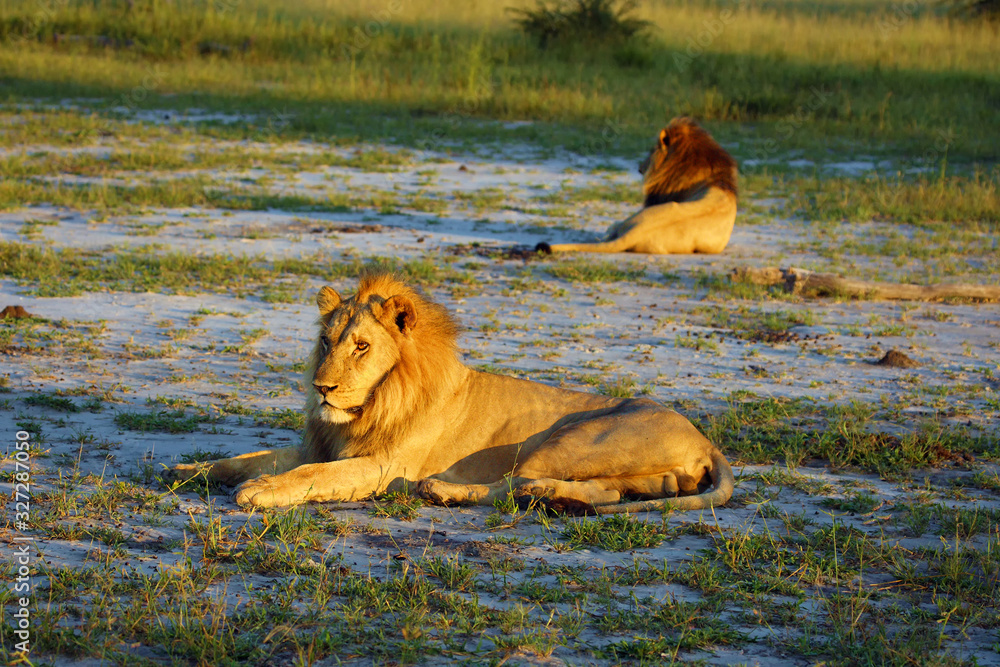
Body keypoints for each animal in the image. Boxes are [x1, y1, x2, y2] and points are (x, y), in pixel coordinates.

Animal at [170, 274, 736, 516]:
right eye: (326, 342)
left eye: (361, 346)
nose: (321, 388)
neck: (371, 405)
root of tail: (706, 439)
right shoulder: (321, 445)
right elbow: (252, 457)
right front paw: (187, 471)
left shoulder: (383, 466)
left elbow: (312, 475)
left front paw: (261, 491)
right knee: (606, 494)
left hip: (567, 440)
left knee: (510, 486)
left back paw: (445, 491)